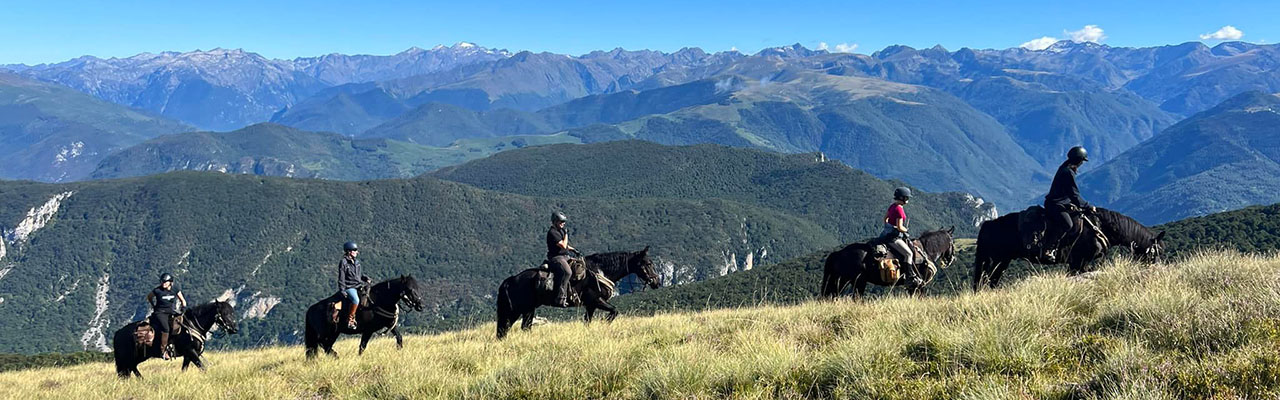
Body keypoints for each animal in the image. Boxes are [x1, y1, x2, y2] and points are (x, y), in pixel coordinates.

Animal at [494, 247, 656, 339]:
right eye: (648, 263)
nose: (656, 282)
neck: (599, 272)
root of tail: (511, 280)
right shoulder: (596, 301)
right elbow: (614, 311)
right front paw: (604, 323)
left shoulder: (590, 306)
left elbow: (588, 322)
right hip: (520, 310)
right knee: (510, 328)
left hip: (526, 310)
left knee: (515, 328)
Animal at [820, 227, 957, 299]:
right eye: (952, 242)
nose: (950, 259)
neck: (926, 250)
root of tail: (839, 253)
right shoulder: (920, 285)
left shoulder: (912, 287)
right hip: (856, 281)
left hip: (843, 280)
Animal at [971, 207, 1165, 291]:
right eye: (1154, 253)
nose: (1156, 270)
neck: (1100, 226)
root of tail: (988, 224)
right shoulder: (1079, 261)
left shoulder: (1080, 263)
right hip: (996, 260)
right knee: (986, 279)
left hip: (1002, 261)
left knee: (991, 280)